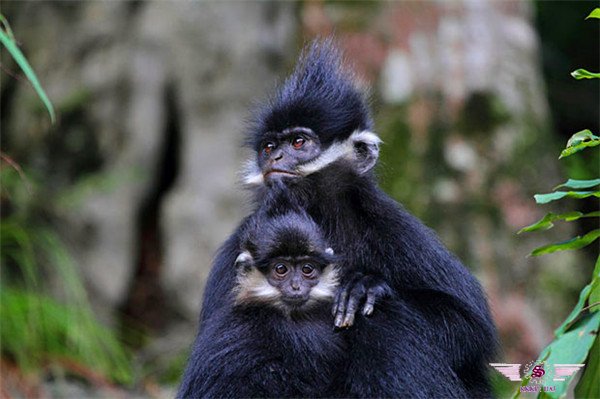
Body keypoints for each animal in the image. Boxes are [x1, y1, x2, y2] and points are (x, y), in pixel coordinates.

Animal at [178, 39, 496, 398]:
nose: (274, 157)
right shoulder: (242, 240)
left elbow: (470, 329)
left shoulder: (389, 223)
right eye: (269, 146)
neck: (317, 213)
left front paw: (366, 286)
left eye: (298, 142)